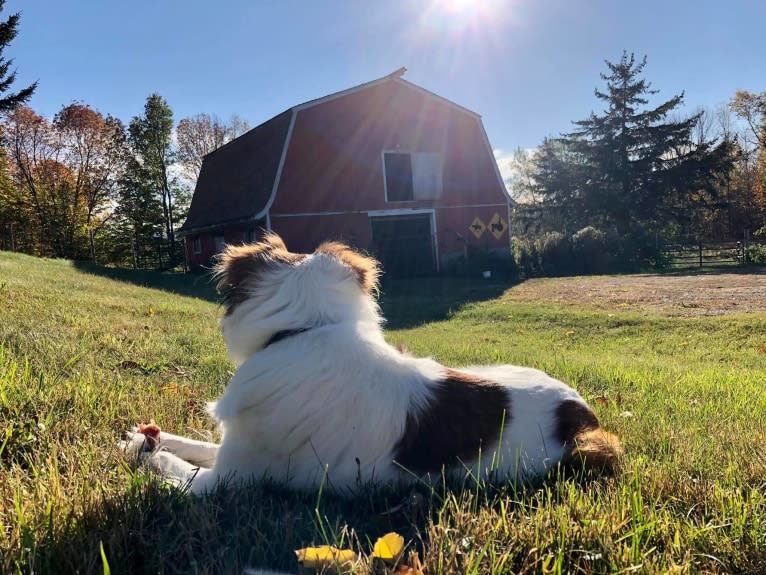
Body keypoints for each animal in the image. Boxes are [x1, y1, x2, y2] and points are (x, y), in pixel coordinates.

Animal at [121, 235, 624, 496]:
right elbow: (192, 442)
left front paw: (148, 451)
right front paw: (144, 436)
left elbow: (176, 465)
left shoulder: (229, 480)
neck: (308, 329)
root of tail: (583, 416)